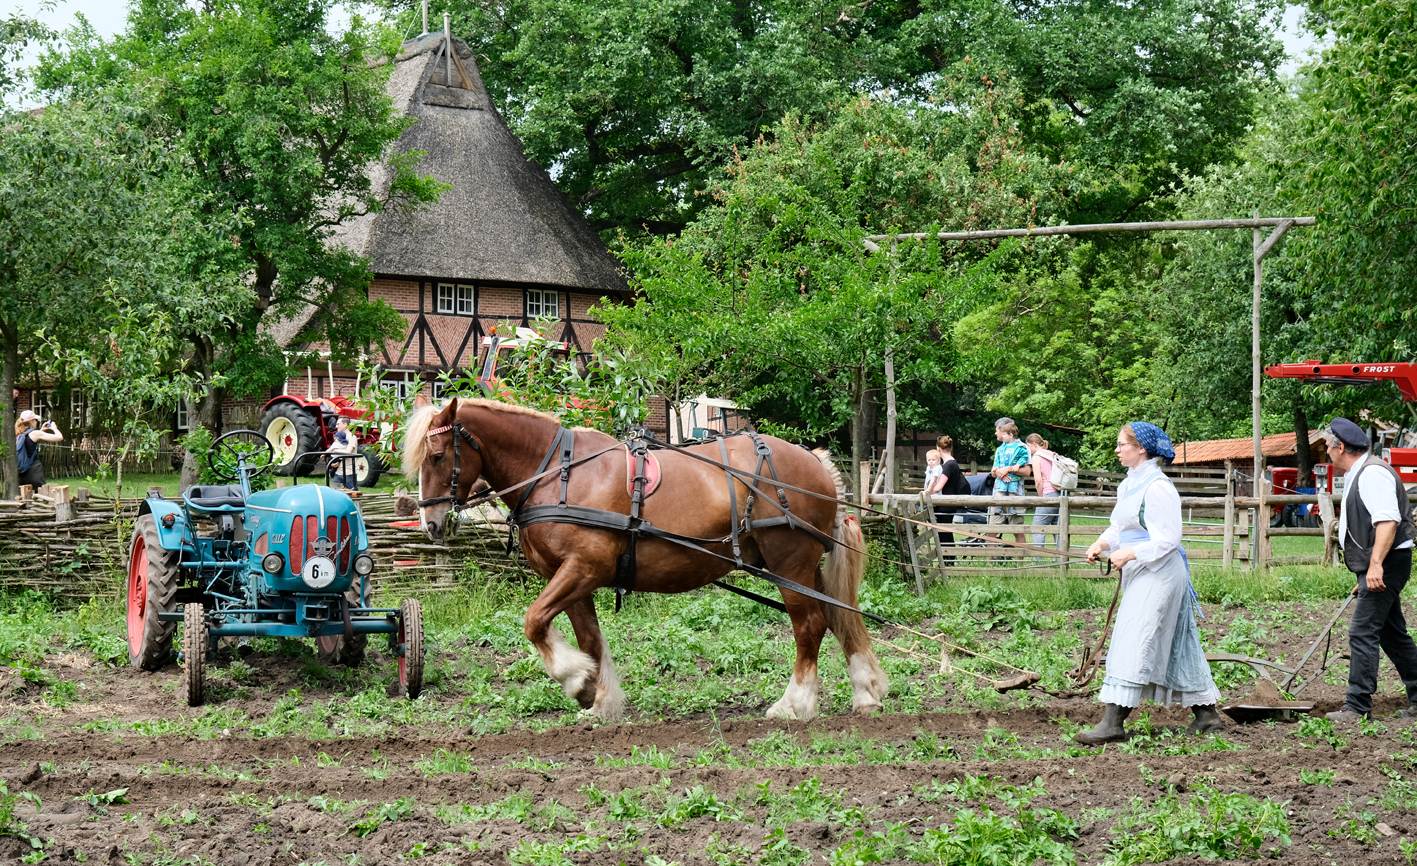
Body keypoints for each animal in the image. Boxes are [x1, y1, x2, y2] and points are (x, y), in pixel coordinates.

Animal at [402, 396, 884, 722]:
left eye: (438, 456)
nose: (431, 523)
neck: (558, 473)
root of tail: (818, 464)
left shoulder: (583, 569)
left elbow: (534, 621)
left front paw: (576, 680)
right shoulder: (573, 578)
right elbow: (590, 640)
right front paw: (597, 698)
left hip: (789, 563)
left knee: (810, 625)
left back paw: (794, 703)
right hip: (802, 567)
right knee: (838, 617)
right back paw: (866, 691)